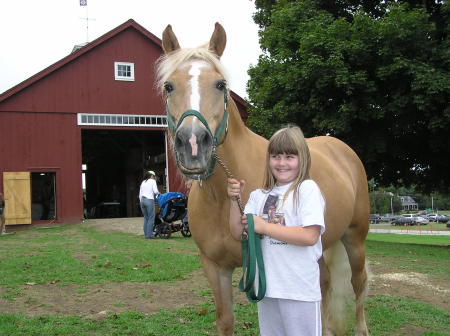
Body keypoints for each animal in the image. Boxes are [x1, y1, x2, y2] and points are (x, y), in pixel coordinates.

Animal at [156, 22, 370, 334]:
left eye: (221, 84)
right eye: (169, 86)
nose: (193, 145)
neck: (221, 199)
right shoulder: (215, 268)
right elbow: (225, 320)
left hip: (355, 238)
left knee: (358, 283)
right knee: (324, 284)